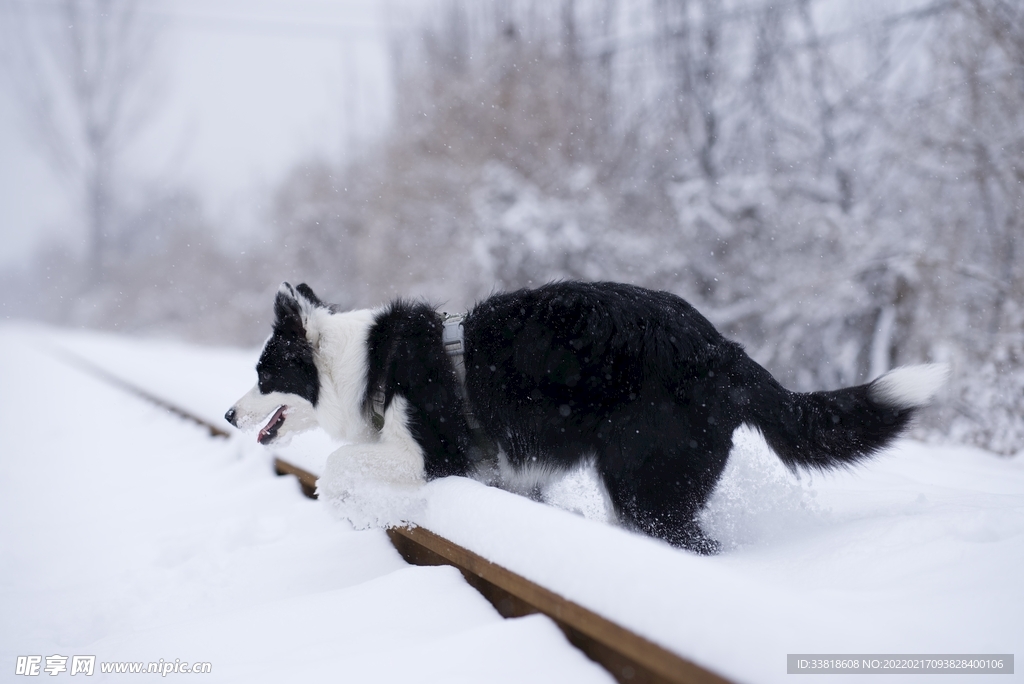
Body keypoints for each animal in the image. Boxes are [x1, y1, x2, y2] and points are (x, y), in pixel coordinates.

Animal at [224, 280, 942, 552]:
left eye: (263, 374)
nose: (229, 414)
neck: (362, 362)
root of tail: (725, 351)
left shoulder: (434, 451)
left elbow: (340, 464)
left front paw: (349, 506)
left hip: (644, 477)